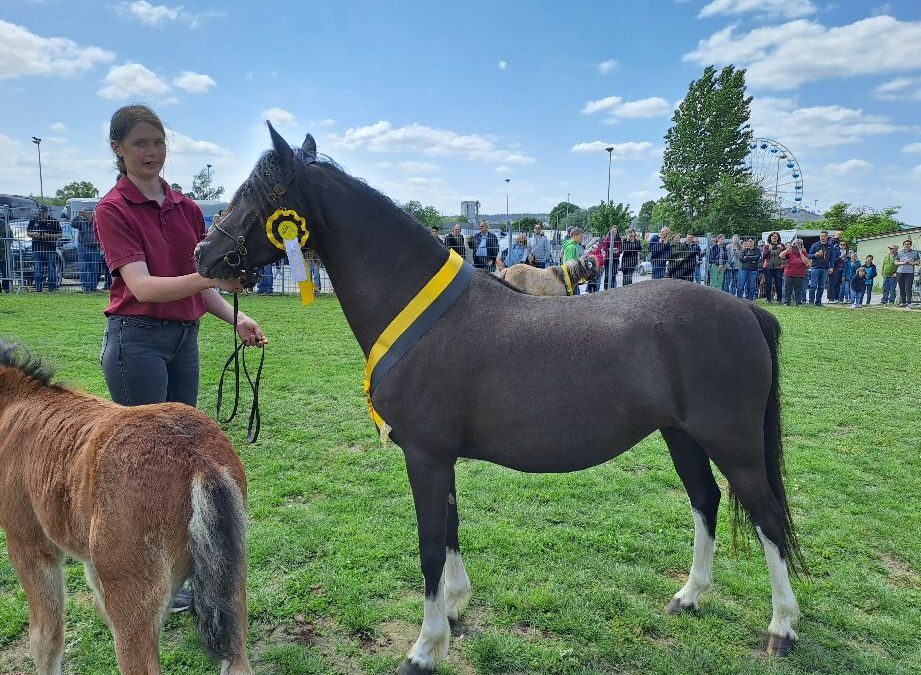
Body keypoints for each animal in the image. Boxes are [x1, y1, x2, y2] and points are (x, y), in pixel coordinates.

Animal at [0, 341, 252, 675]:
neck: (14, 403)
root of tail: (197, 457)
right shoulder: (90, 557)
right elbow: (97, 603)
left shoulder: (28, 543)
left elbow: (45, 638)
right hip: (230, 584)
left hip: (135, 599)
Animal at [195, 124, 805, 675]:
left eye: (261, 192)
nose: (205, 254)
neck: (420, 314)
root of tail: (746, 308)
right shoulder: (440, 458)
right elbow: (450, 529)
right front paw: (454, 611)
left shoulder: (425, 456)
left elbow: (430, 544)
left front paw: (424, 649)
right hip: (682, 436)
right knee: (706, 501)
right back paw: (690, 597)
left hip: (733, 443)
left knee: (768, 517)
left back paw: (782, 628)